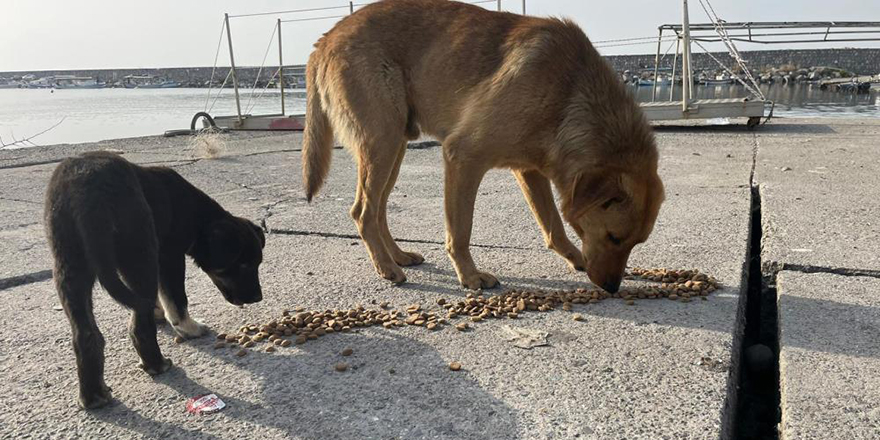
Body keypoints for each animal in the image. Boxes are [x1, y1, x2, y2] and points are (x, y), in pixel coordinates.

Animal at [44, 152, 264, 410]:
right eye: (244, 265)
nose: (258, 297)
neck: (197, 217)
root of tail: (84, 192)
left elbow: (161, 297)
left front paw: (159, 312)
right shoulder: (170, 256)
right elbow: (176, 299)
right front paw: (188, 327)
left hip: (70, 266)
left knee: (86, 334)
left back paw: (93, 396)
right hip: (140, 250)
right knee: (139, 325)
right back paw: (157, 364)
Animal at [306, 0, 664, 292]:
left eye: (636, 243)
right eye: (614, 237)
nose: (612, 287)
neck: (569, 94)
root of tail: (325, 39)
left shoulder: (531, 171)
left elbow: (553, 225)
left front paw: (574, 256)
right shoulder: (463, 157)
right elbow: (461, 230)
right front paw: (470, 276)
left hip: (395, 148)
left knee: (378, 208)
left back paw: (397, 256)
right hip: (383, 142)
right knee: (363, 211)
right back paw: (385, 267)